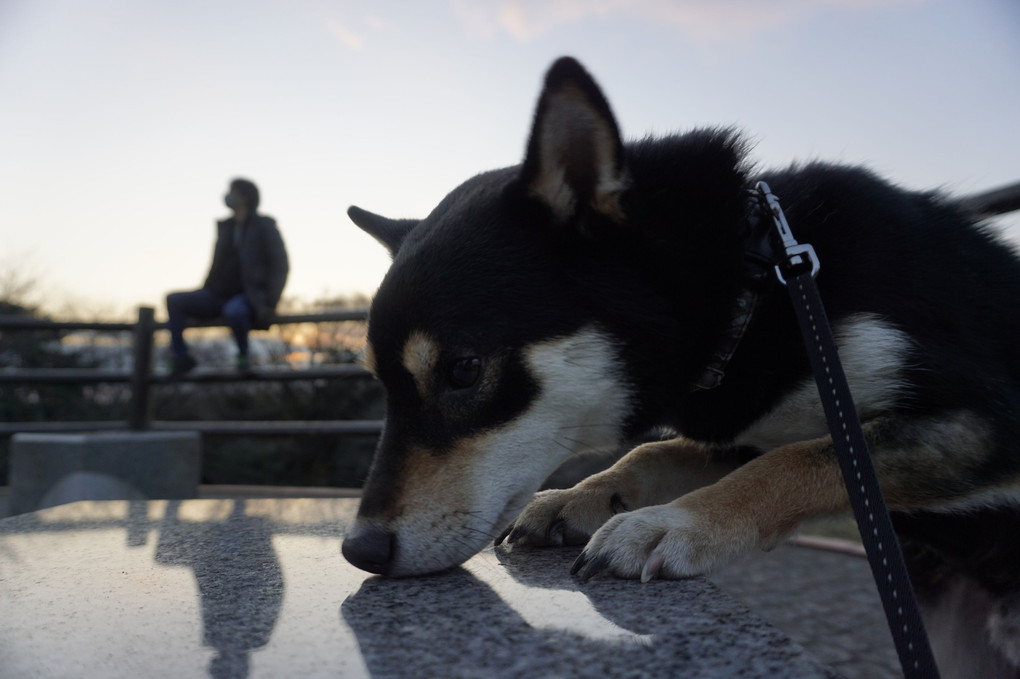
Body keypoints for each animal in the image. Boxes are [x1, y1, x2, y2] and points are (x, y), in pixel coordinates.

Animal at [344, 58, 1020, 672]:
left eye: (463, 369)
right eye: (379, 382)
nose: (359, 548)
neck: (758, 284)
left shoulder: (985, 422)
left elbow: (796, 460)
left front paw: (676, 523)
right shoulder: (746, 420)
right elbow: (657, 451)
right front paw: (581, 497)